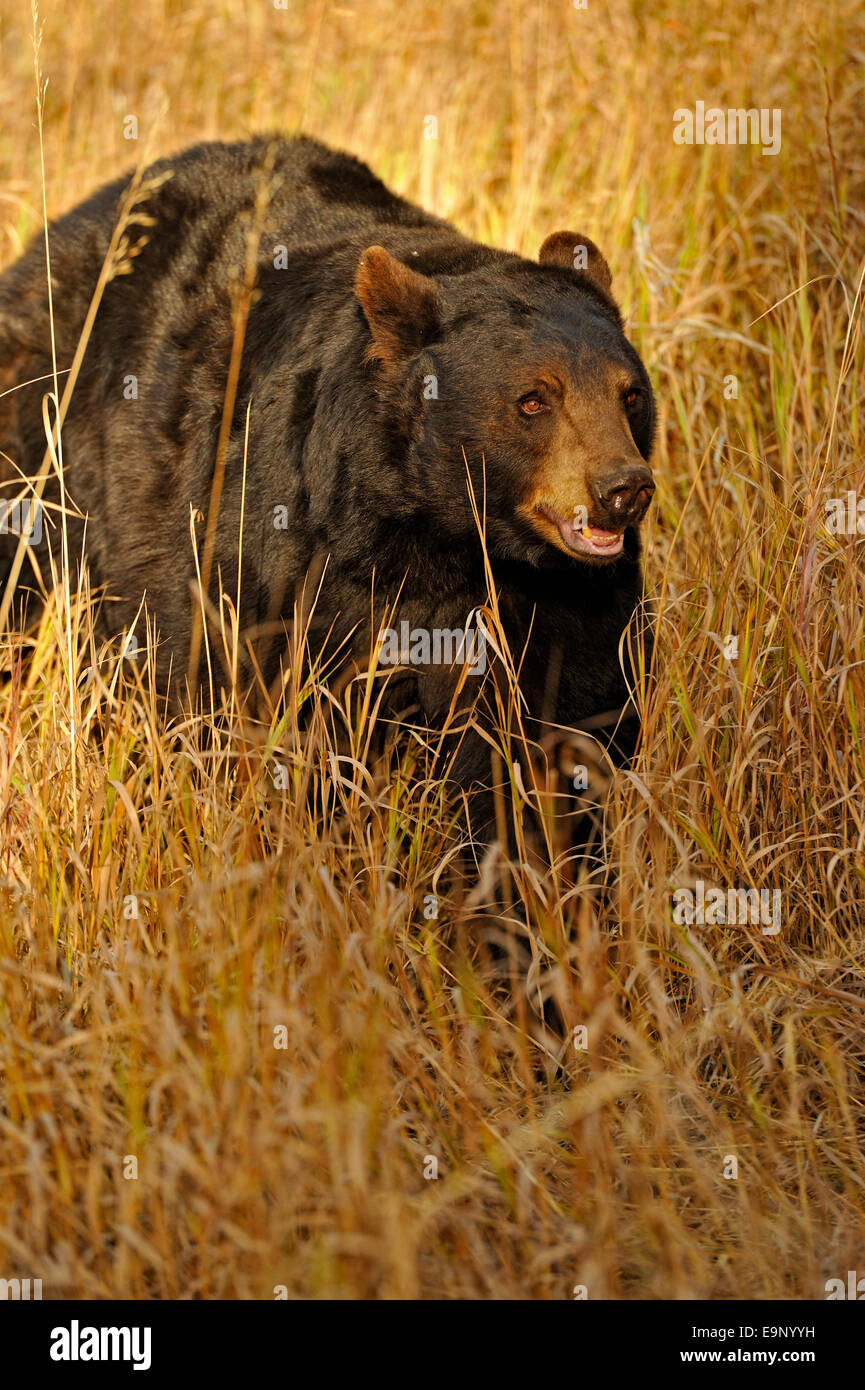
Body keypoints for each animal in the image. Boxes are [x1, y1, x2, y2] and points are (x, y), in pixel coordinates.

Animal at [0, 136, 653, 800]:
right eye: (533, 400)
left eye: (630, 394)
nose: (623, 488)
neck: (446, 538)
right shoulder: (291, 557)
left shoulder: (570, 605)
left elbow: (576, 709)